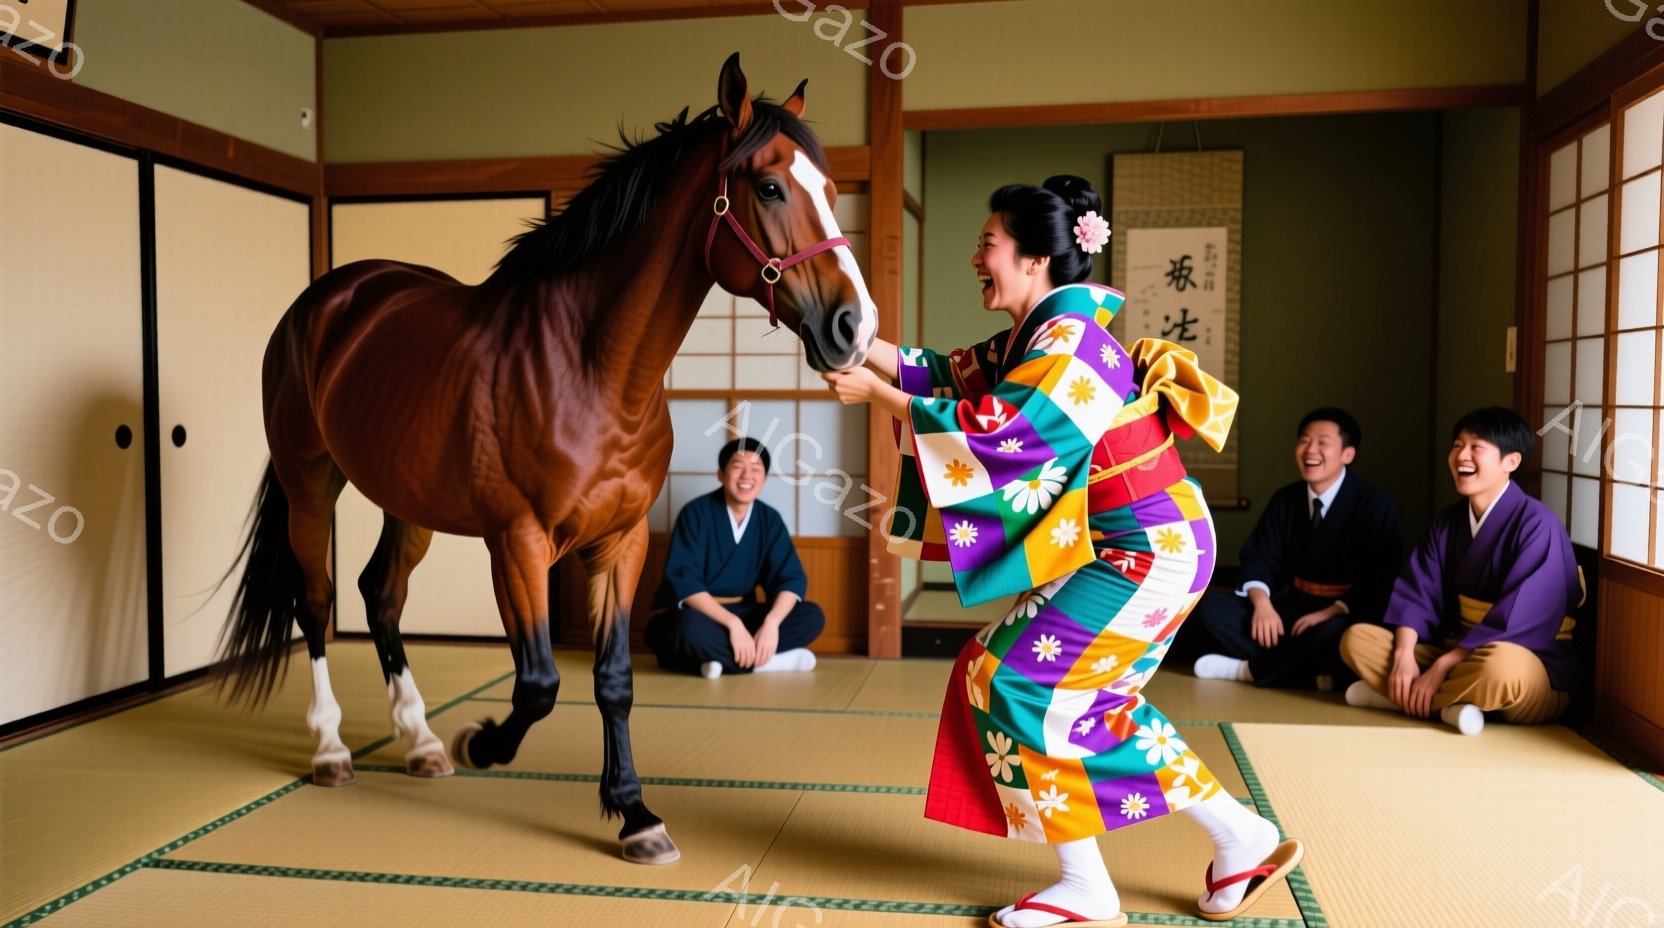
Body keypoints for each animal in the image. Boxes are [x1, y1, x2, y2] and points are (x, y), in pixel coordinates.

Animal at [214, 53, 879, 866]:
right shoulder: (518, 542)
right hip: (310, 478)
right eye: (772, 187)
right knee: (316, 601)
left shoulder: (621, 542)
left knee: (382, 596)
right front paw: (483, 742)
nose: (856, 327)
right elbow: (537, 682)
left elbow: (613, 678)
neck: (593, 368)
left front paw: (634, 814)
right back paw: (334, 750)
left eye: (833, 191)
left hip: (408, 501)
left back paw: (420, 740)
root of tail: (329, 298)